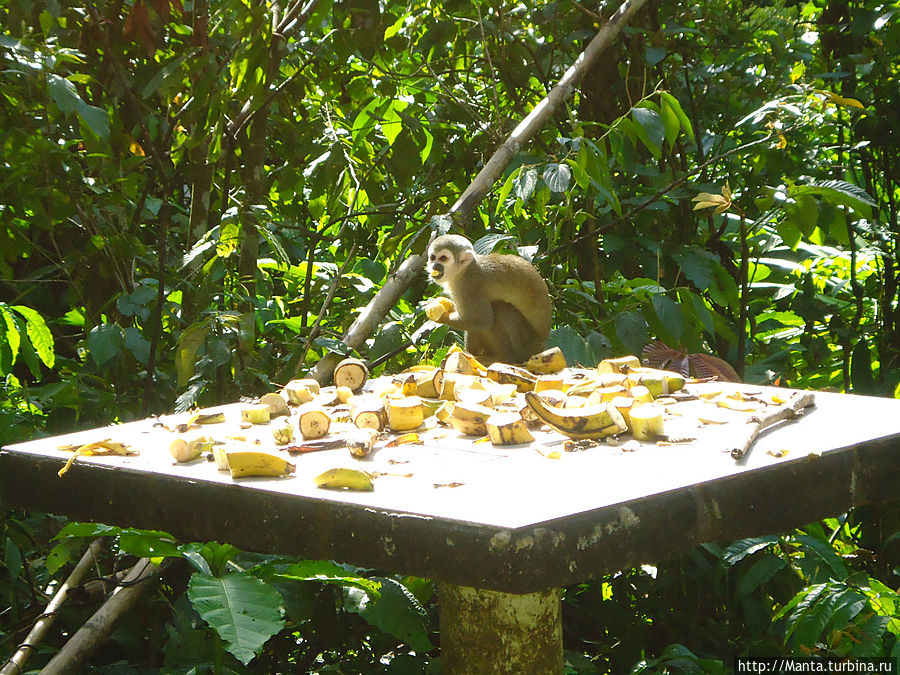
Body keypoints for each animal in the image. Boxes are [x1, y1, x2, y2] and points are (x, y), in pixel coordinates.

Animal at [426, 235, 552, 368]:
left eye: (443, 258)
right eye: (433, 257)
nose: (435, 266)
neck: (463, 270)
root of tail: (541, 347)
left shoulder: (469, 286)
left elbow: (482, 320)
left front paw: (439, 316)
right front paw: (446, 305)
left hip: (526, 345)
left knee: (498, 308)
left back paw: (502, 358)